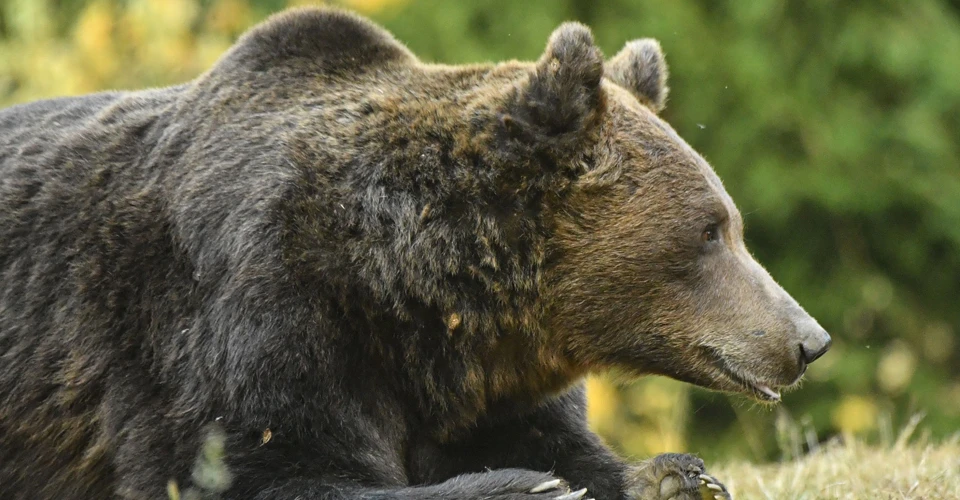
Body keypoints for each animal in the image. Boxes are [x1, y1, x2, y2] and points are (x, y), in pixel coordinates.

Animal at [0, 7, 832, 500]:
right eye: (709, 231)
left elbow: (565, 443)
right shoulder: (244, 315)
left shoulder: (486, 382)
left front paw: (675, 476)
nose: (807, 338)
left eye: (730, 223)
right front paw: (527, 486)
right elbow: (260, 465)